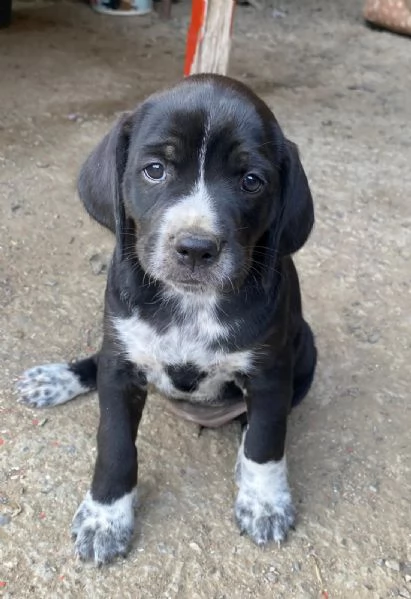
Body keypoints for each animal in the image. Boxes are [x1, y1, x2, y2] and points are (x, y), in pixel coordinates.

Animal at [16, 75, 318, 568]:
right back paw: (57, 378)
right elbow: (115, 445)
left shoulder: (271, 373)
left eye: (251, 181)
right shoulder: (122, 367)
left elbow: (266, 441)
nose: (195, 247)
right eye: (155, 170)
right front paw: (105, 517)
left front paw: (265, 501)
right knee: (98, 360)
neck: (189, 303)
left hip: (305, 348)